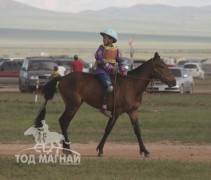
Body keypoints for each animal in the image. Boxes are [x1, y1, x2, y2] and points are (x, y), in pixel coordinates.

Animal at [35, 51, 176, 156]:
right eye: (161, 66)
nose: (173, 82)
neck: (131, 85)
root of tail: (63, 77)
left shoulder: (133, 112)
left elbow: (137, 130)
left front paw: (145, 151)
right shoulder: (116, 112)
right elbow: (108, 129)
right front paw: (100, 149)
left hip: (75, 105)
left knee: (65, 122)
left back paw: (66, 149)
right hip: (72, 105)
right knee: (63, 122)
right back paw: (68, 150)